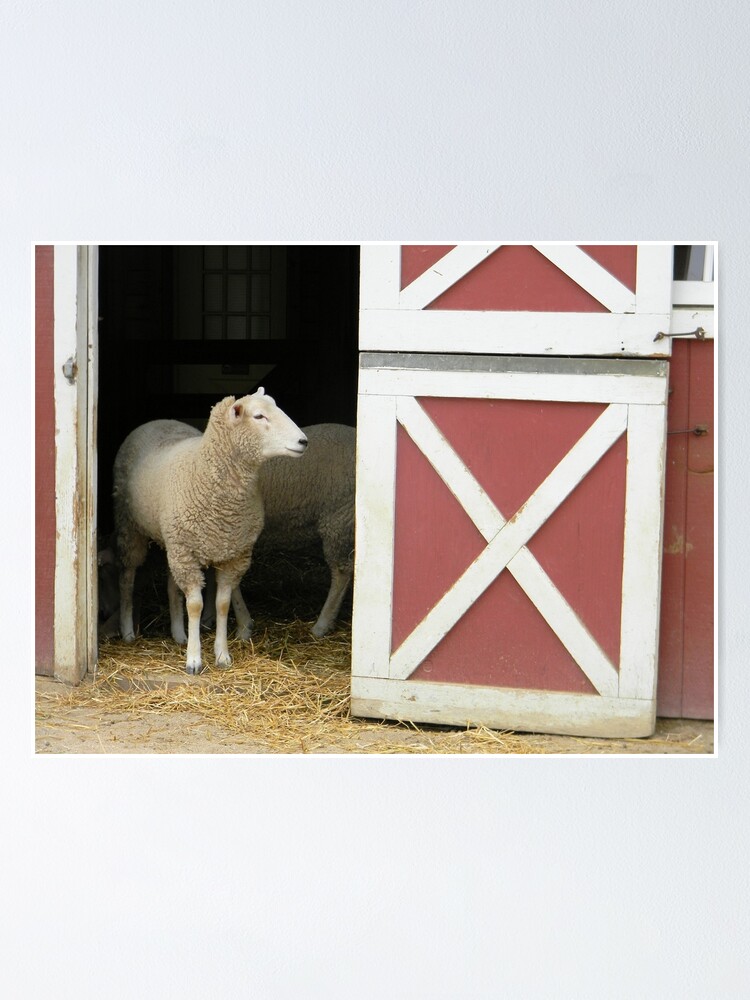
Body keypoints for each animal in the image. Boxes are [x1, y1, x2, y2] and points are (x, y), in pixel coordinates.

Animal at [113, 389, 308, 674]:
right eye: (259, 416)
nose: (303, 441)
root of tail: (158, 420)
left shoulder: (233, 554)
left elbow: (222, 604)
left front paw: (222, 655)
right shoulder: (188, 552)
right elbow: (195, 605)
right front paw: (194, 660)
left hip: (175, 542)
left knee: (172, 585)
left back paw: (178, 634)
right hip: (131, 526)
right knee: (127, 576)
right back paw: (128, 631)